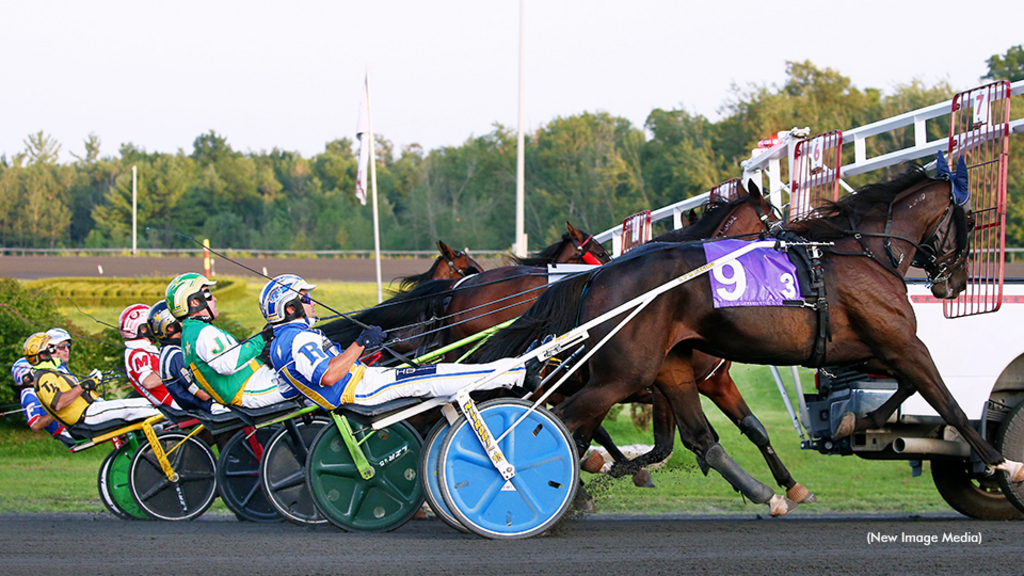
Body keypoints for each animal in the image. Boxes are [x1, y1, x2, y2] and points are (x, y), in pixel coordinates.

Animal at [475, 163, 1019, 512]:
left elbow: (901, 391)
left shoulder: (873, 348)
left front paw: (852, 426)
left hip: (666, 367)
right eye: (969, 221)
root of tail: (598, 278)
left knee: (684, 435)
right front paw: (1002, 465)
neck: (862, 253)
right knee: (564, 421)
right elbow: (948, 403)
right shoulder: (903, 344)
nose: (956, 282)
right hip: (623, 372)